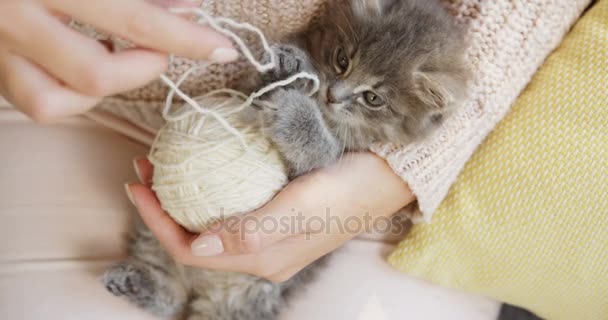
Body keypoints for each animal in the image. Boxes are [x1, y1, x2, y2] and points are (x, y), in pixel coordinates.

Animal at [101, 0, 470, 320]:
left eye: (372, 98)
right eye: (342, 60)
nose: (333, 95)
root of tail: (204, 279)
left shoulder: (327, 160)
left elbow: (315, 149)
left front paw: (295, 114)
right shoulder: (245, 90)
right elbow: (258, 84)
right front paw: (288, 66)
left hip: (254, 291)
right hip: (152, 235)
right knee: (170, 291)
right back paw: (137, 283)